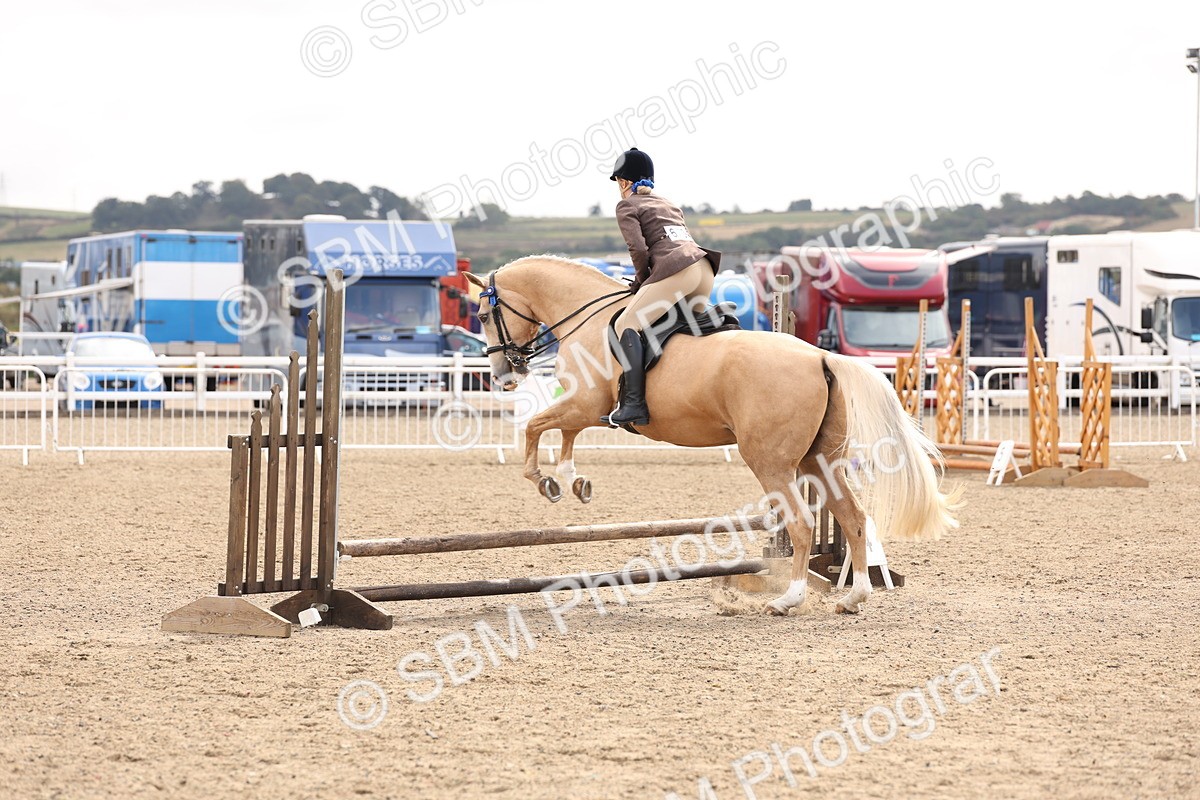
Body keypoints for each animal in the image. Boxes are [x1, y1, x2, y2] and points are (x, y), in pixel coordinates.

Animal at [464, 255, 960, 615]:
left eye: (485, 314)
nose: (503, 375)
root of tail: (821, 356)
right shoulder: (585, 408)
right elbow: (561, 433)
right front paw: (572, 481)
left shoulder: (586, 404)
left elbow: (536, 427)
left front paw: (545, 480)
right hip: (819, 461)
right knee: (854, 518)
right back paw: (853, 597)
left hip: (770, 461)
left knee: (800, 523)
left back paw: (788, 600)